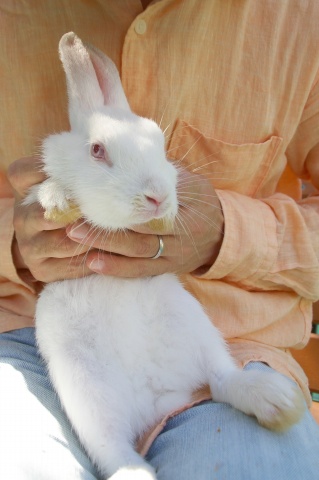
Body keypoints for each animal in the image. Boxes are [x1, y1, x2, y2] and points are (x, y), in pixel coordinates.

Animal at [25, 31, 304, 478]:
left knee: (222, 379)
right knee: (115, 451)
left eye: (159, 142)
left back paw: (276, 401)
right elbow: (48, 189)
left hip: (192, 328)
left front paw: (164, 219)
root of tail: (157, 399)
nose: (157, 196)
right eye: (97, 150)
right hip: (85, 389)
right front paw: (59, 203)